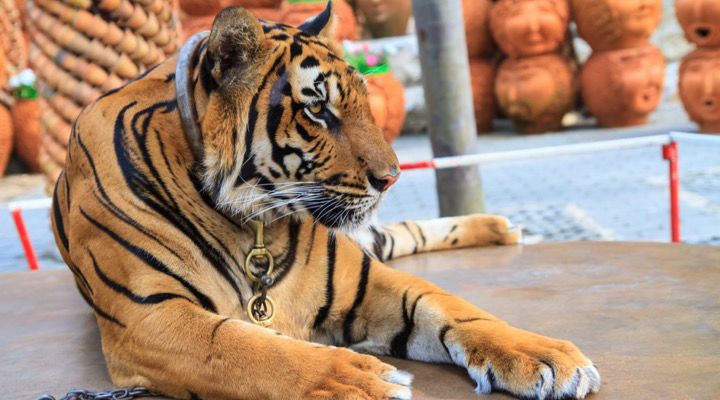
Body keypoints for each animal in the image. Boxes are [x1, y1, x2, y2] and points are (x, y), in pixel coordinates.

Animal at [50, 3, 601, 400]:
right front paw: (361, 380)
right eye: (317, 110)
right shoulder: (149, 316)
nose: (392, 177)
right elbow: (244, 348)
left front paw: (545, 357)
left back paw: (503, 226)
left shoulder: (366, 280)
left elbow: (455, 309)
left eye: (365, 101)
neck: (252, 223)